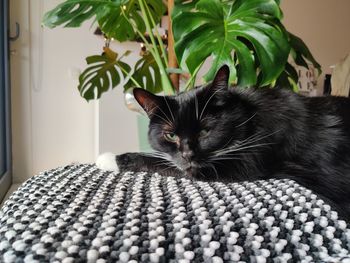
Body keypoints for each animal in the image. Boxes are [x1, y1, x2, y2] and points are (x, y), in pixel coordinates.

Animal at [97, 66, 350, 221]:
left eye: (205, 130)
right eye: (170, 135)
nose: (188, 154)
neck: (247, 115)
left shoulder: (240, 162)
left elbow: (162, 163)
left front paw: (107, 158)